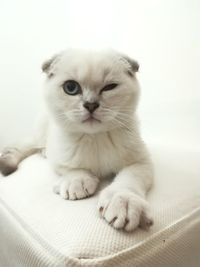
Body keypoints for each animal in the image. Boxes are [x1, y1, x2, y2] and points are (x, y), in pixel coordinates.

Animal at [0, 48, 153, 232]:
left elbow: (126, 182)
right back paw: (43, 152)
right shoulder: (59, 160)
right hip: (42, 126)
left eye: (110, 87)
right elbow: (73, 170)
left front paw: (123, 202)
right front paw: (77, 183)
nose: (91, 105)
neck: (95, 138)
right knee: (37, 144)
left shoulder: (140, 162)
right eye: (71, 88)